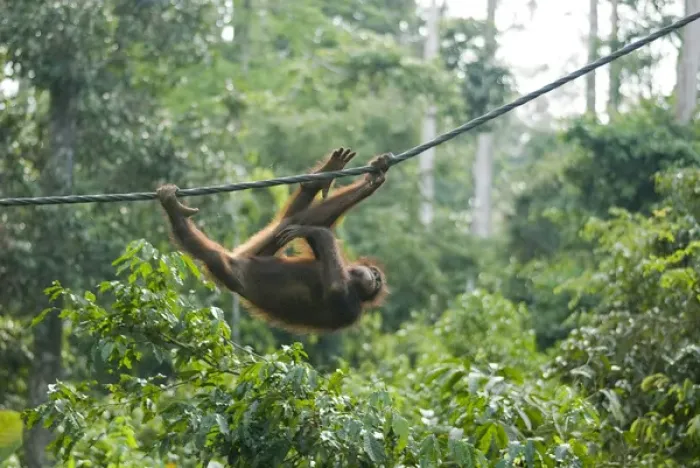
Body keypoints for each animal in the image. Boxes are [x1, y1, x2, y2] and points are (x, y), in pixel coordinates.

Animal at [157, 148, 391, 332]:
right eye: (376, 276)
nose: (375, 278)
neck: (353, 281)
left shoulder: (350, 307)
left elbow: (335, 288)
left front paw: (315, 231)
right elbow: (313, 227)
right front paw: (373, 179)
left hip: (235, 272)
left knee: (215, 257)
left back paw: (175, 211)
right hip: (254, 252)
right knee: (285, 225)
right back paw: (320, 178)